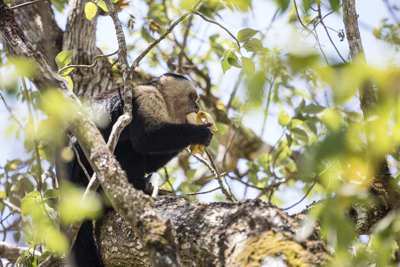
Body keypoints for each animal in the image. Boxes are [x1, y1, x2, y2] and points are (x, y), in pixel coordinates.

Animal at [63, 74, 212, 267]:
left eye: (196, 99)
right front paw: (199, 133)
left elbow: (148, 160)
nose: (197, 107)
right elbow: (145, 139)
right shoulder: (146, 97)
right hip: (85, 170)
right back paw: (136, 192)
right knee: (127, 148)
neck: (162, 97)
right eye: (191, 97)